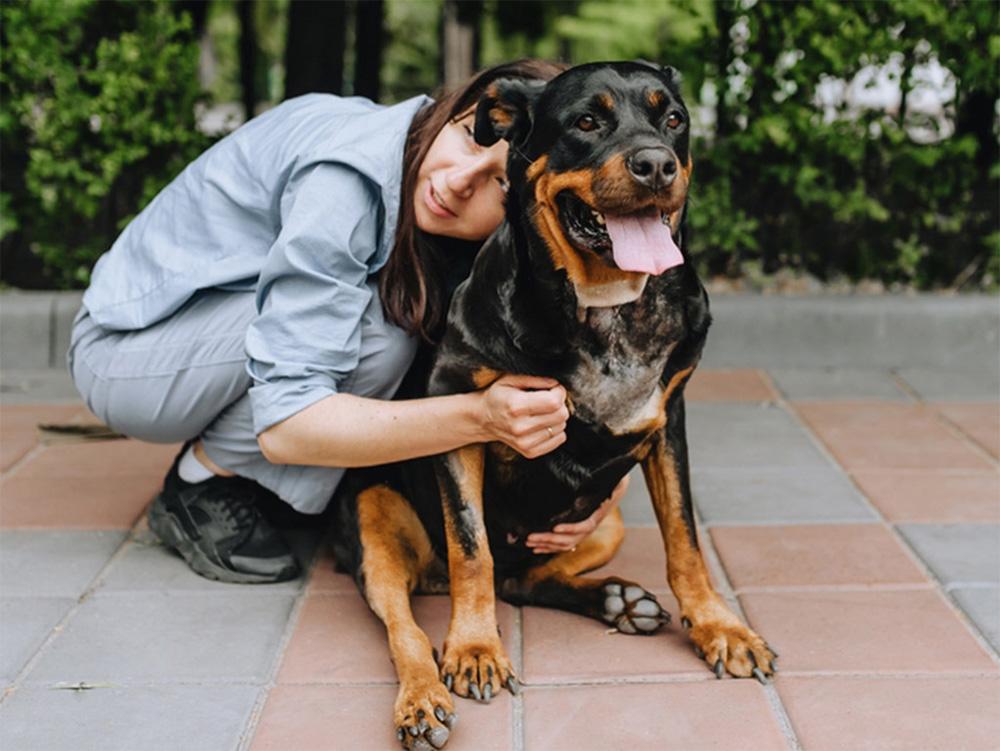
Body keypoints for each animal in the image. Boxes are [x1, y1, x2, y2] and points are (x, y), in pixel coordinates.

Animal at [332, 60, 776, 751]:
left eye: (674, 118)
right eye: (587, 121)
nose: (656, 164)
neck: (606, 304)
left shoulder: (668, 424)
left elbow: (685, 540)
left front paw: (718, 626)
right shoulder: (460, 418)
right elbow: (471, 549)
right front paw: (474, 648)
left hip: (606, 520)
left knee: (523, 579)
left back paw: (615, 600)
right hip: (376, 509)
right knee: (407, 619)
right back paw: (423, 695)